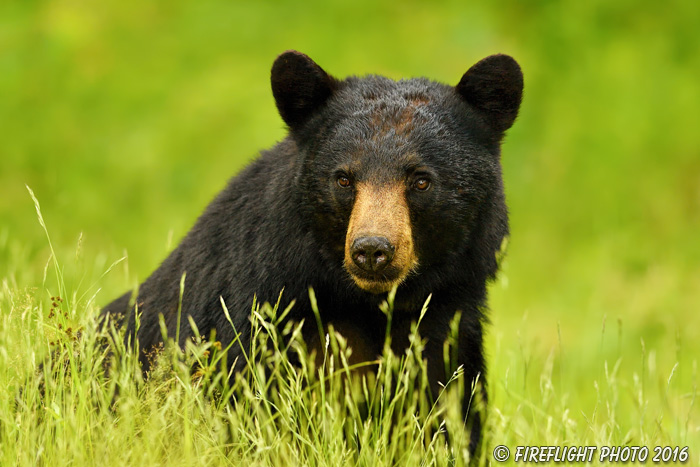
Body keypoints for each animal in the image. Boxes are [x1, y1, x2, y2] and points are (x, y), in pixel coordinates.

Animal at [102, 50, 520, 454]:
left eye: (420, 180)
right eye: (344, 178)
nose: (372, 250)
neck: (363, 304)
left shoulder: (446, 331)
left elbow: (450, 421)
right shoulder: (251, 322)